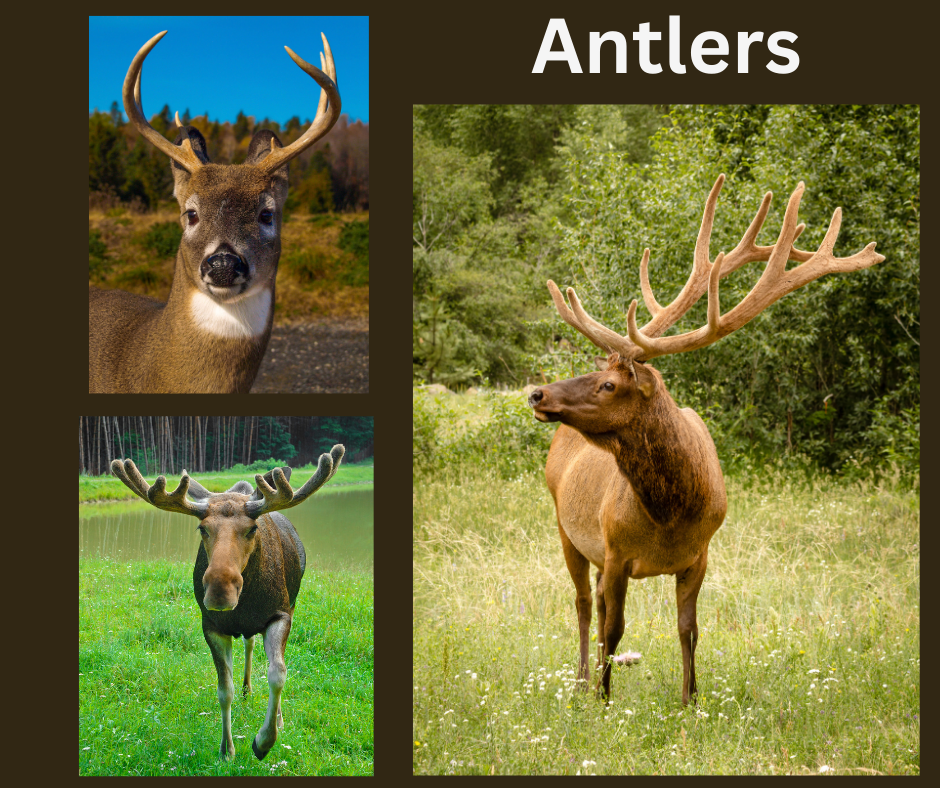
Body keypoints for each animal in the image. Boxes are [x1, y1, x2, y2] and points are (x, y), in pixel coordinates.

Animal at [111, 444, 345, 760]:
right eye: (202, 529)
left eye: (252, 529)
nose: (220, 591)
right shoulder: (211, 625)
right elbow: (225, 690)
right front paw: (227, 749)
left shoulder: (281, 613)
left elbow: (278, 673)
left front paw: (264, 740)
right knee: (249, 643)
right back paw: (247, 690)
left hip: (293, 602)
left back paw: (276, 716)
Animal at [528, 175, 884, 704]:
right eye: (600, 374)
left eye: (609, 384)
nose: (538, 393)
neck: (670, 514)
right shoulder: (615, 551)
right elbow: (615, 628)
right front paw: (604, 700)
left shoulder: (699, 555)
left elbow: (688, 629)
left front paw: (690, 700)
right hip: (564, 527)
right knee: (583, 605)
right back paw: (581, 682)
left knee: (591, 603)